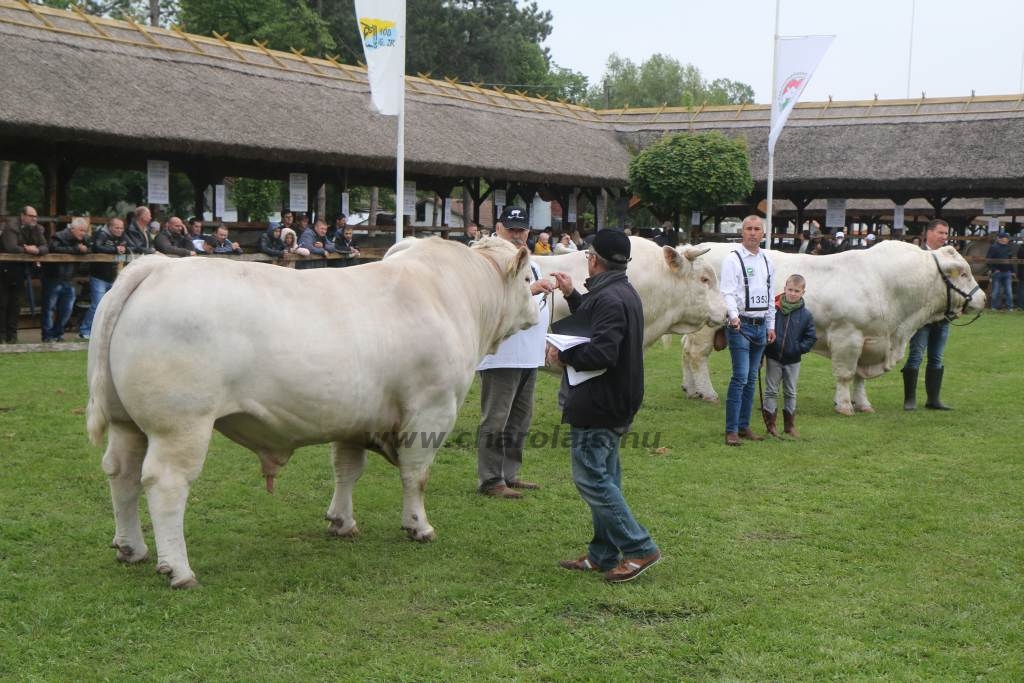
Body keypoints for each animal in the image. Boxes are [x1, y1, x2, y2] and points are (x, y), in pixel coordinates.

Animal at [86, 236, 536, 589]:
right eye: (530, 278)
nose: (539, 305)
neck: (454, 294)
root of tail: (157, 267)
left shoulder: (355, 418)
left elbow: (347, 470)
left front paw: (342, 522)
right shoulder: (432, 410)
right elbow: (416, 475)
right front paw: (418, 526)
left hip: (127, 423)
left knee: (121, 475)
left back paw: (131, 548)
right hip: (180, 425)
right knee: (164, 483)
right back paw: (178, 569)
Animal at [679, 242, 983, 413]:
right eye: (963, 272)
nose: (982, 298)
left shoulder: (869, 341)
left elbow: (860, 377)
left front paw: (863, 404)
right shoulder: (848, 336)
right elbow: (846, 375)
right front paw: (845, 405)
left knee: (685, 353)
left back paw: (692, 390)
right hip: (707, 327)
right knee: (696, 355)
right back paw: (707, 393)